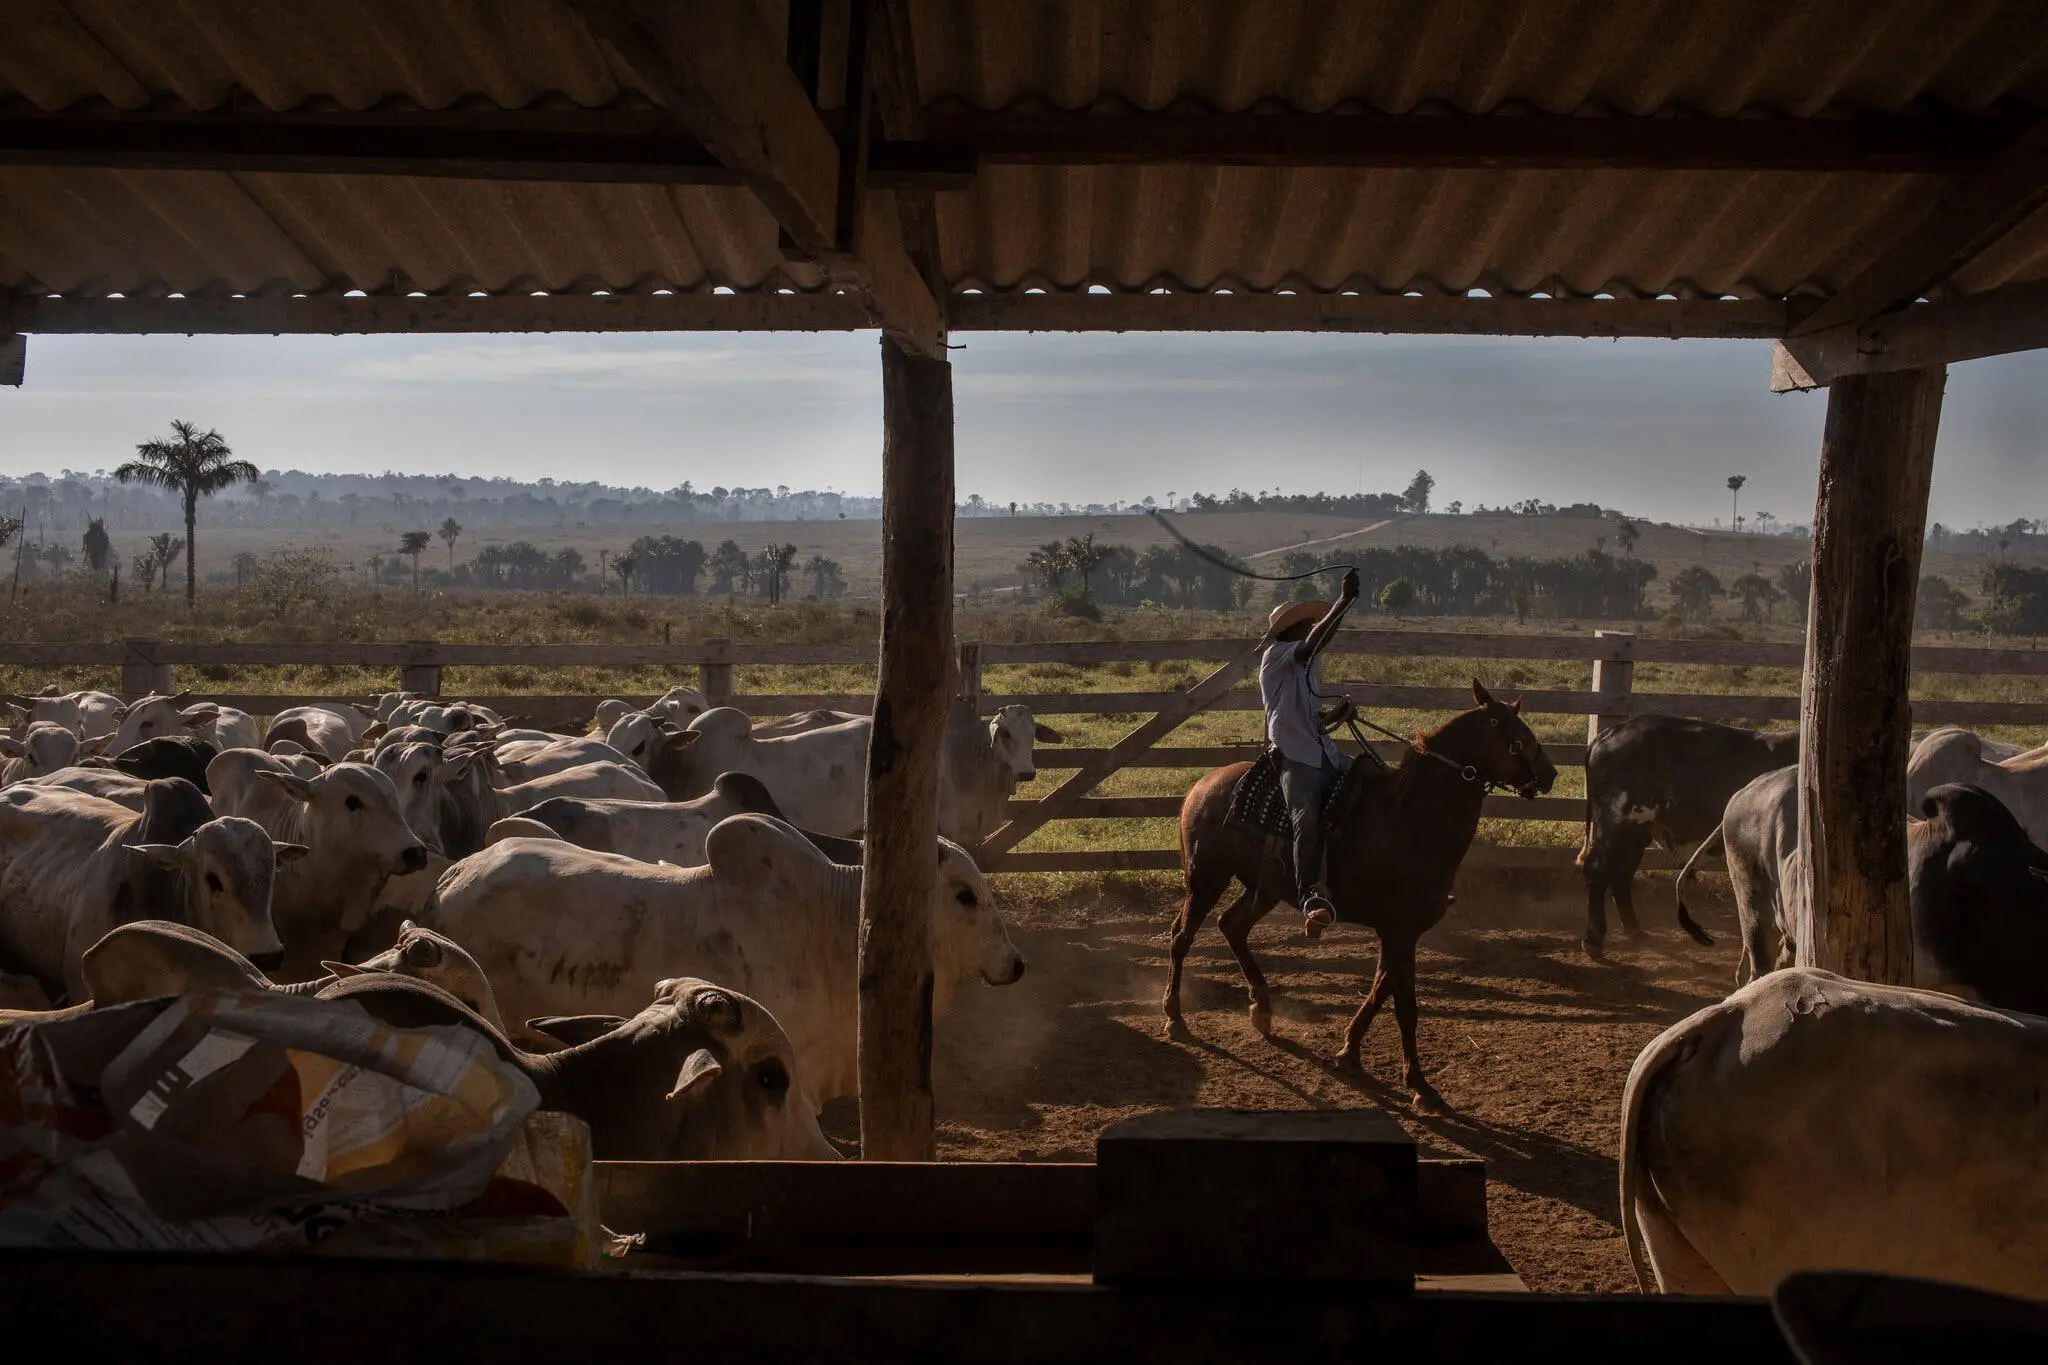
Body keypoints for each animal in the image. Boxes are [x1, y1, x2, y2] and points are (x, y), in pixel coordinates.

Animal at [1171, 683, 1548, 1113]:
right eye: (1515, 731)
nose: (1550, 774)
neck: (1414, 819)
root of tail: (1202, 785)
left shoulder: (1398, 932)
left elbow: (1380, 988)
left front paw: (1350, 1052)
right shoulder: (1401, 930)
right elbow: (1405, 1005)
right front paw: (1420, 1085)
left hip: (1263, 890)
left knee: (1230, 926)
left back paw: (1262, 1011)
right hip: (1205, 880)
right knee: (1181, 937)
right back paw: (1174, 1017)